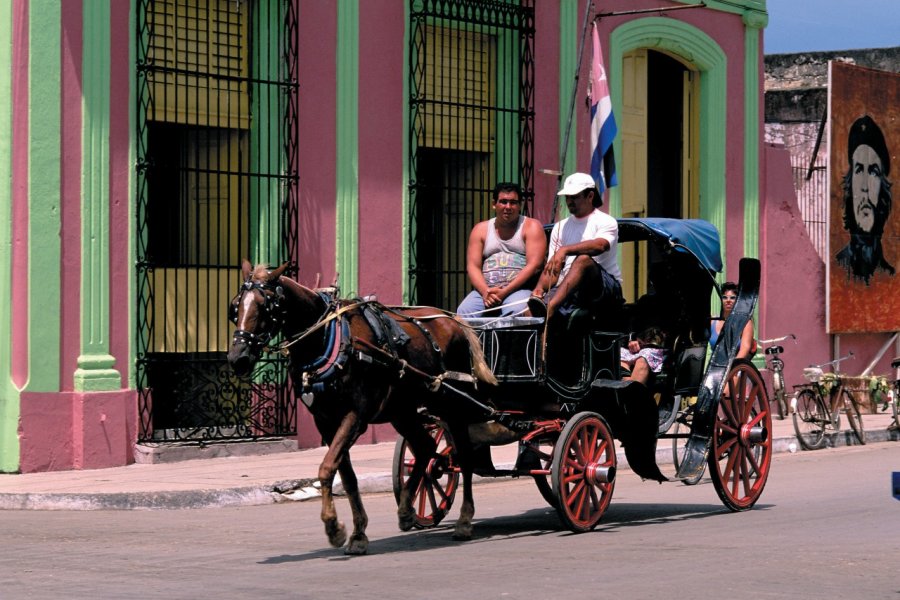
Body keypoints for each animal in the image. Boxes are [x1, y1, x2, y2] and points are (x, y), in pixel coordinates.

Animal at [223, 260, 492, 556]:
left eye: (265, 306)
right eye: (235, 308)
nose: (238, 358)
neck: (326, 339)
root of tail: (452, 319)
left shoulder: (355, 415)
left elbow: (326, 468)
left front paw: (333, 528)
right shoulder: (325, 421)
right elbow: (347, 476)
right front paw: (358, 534)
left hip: (452, 403)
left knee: (463, 456)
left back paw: (464, 520)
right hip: (402, 410)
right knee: (425, 448)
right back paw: (407, 510)